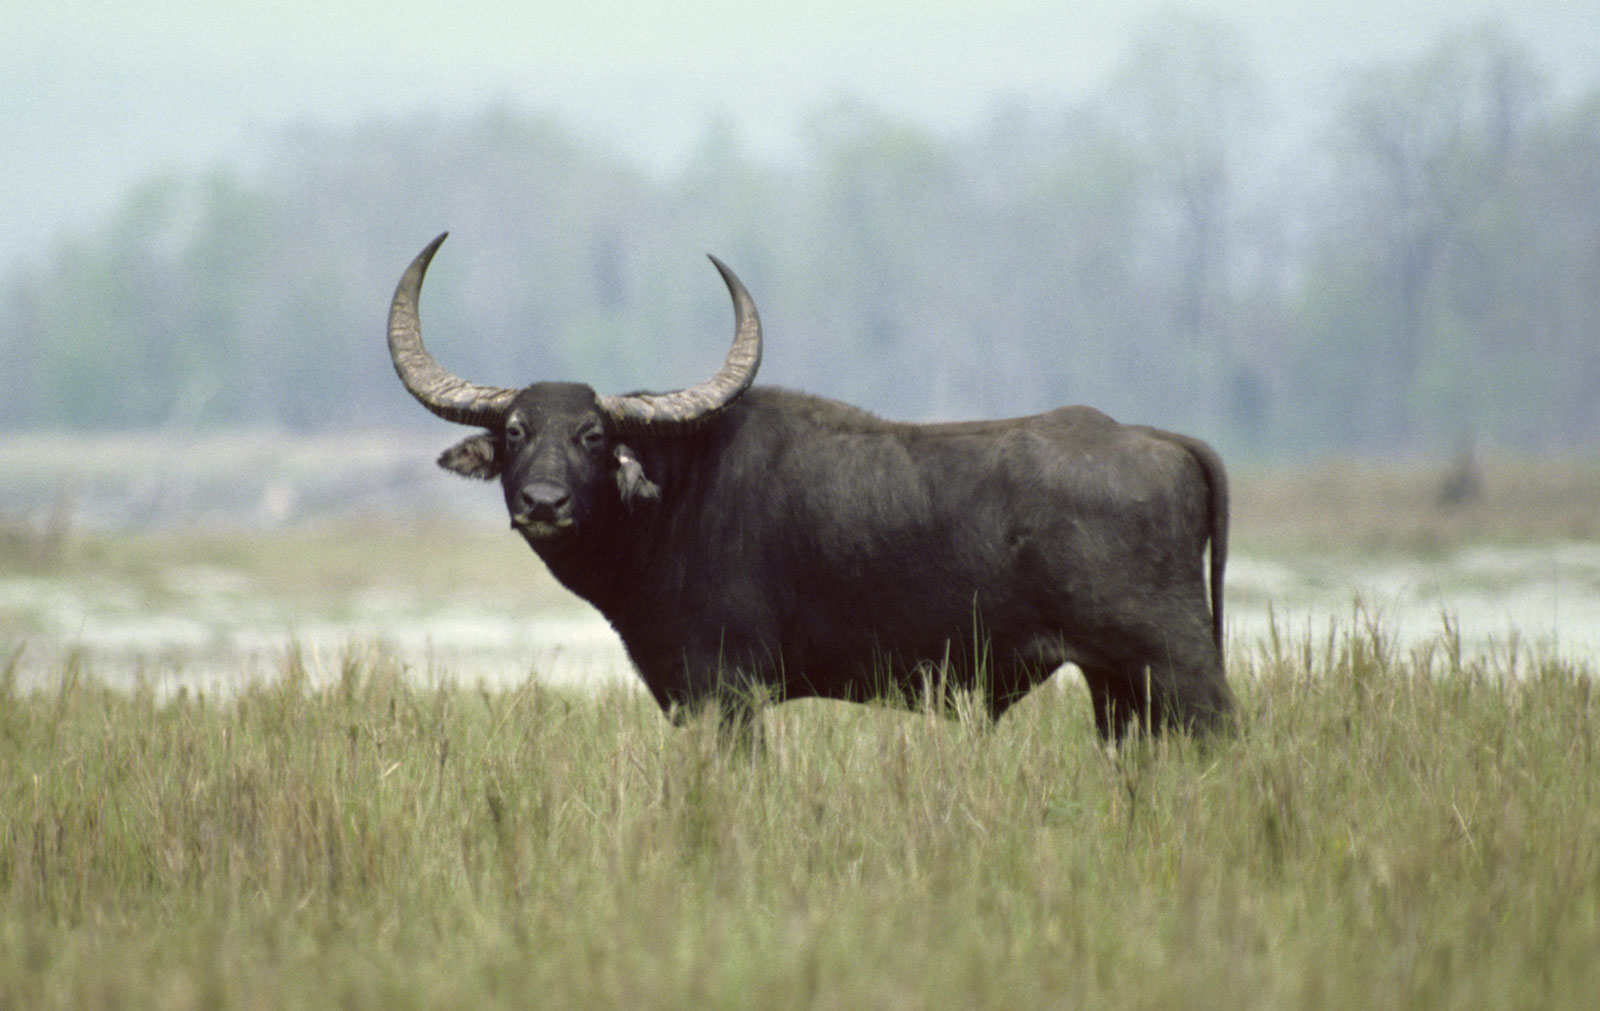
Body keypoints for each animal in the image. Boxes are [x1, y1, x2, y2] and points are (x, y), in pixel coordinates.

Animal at [387, 233, 1233, 741]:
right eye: (516, 431)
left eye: (593, 435)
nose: (544, 504)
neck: (676, 496)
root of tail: (1160, 439)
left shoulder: (726, 693)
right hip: (1116, 687)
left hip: (1180, 669)